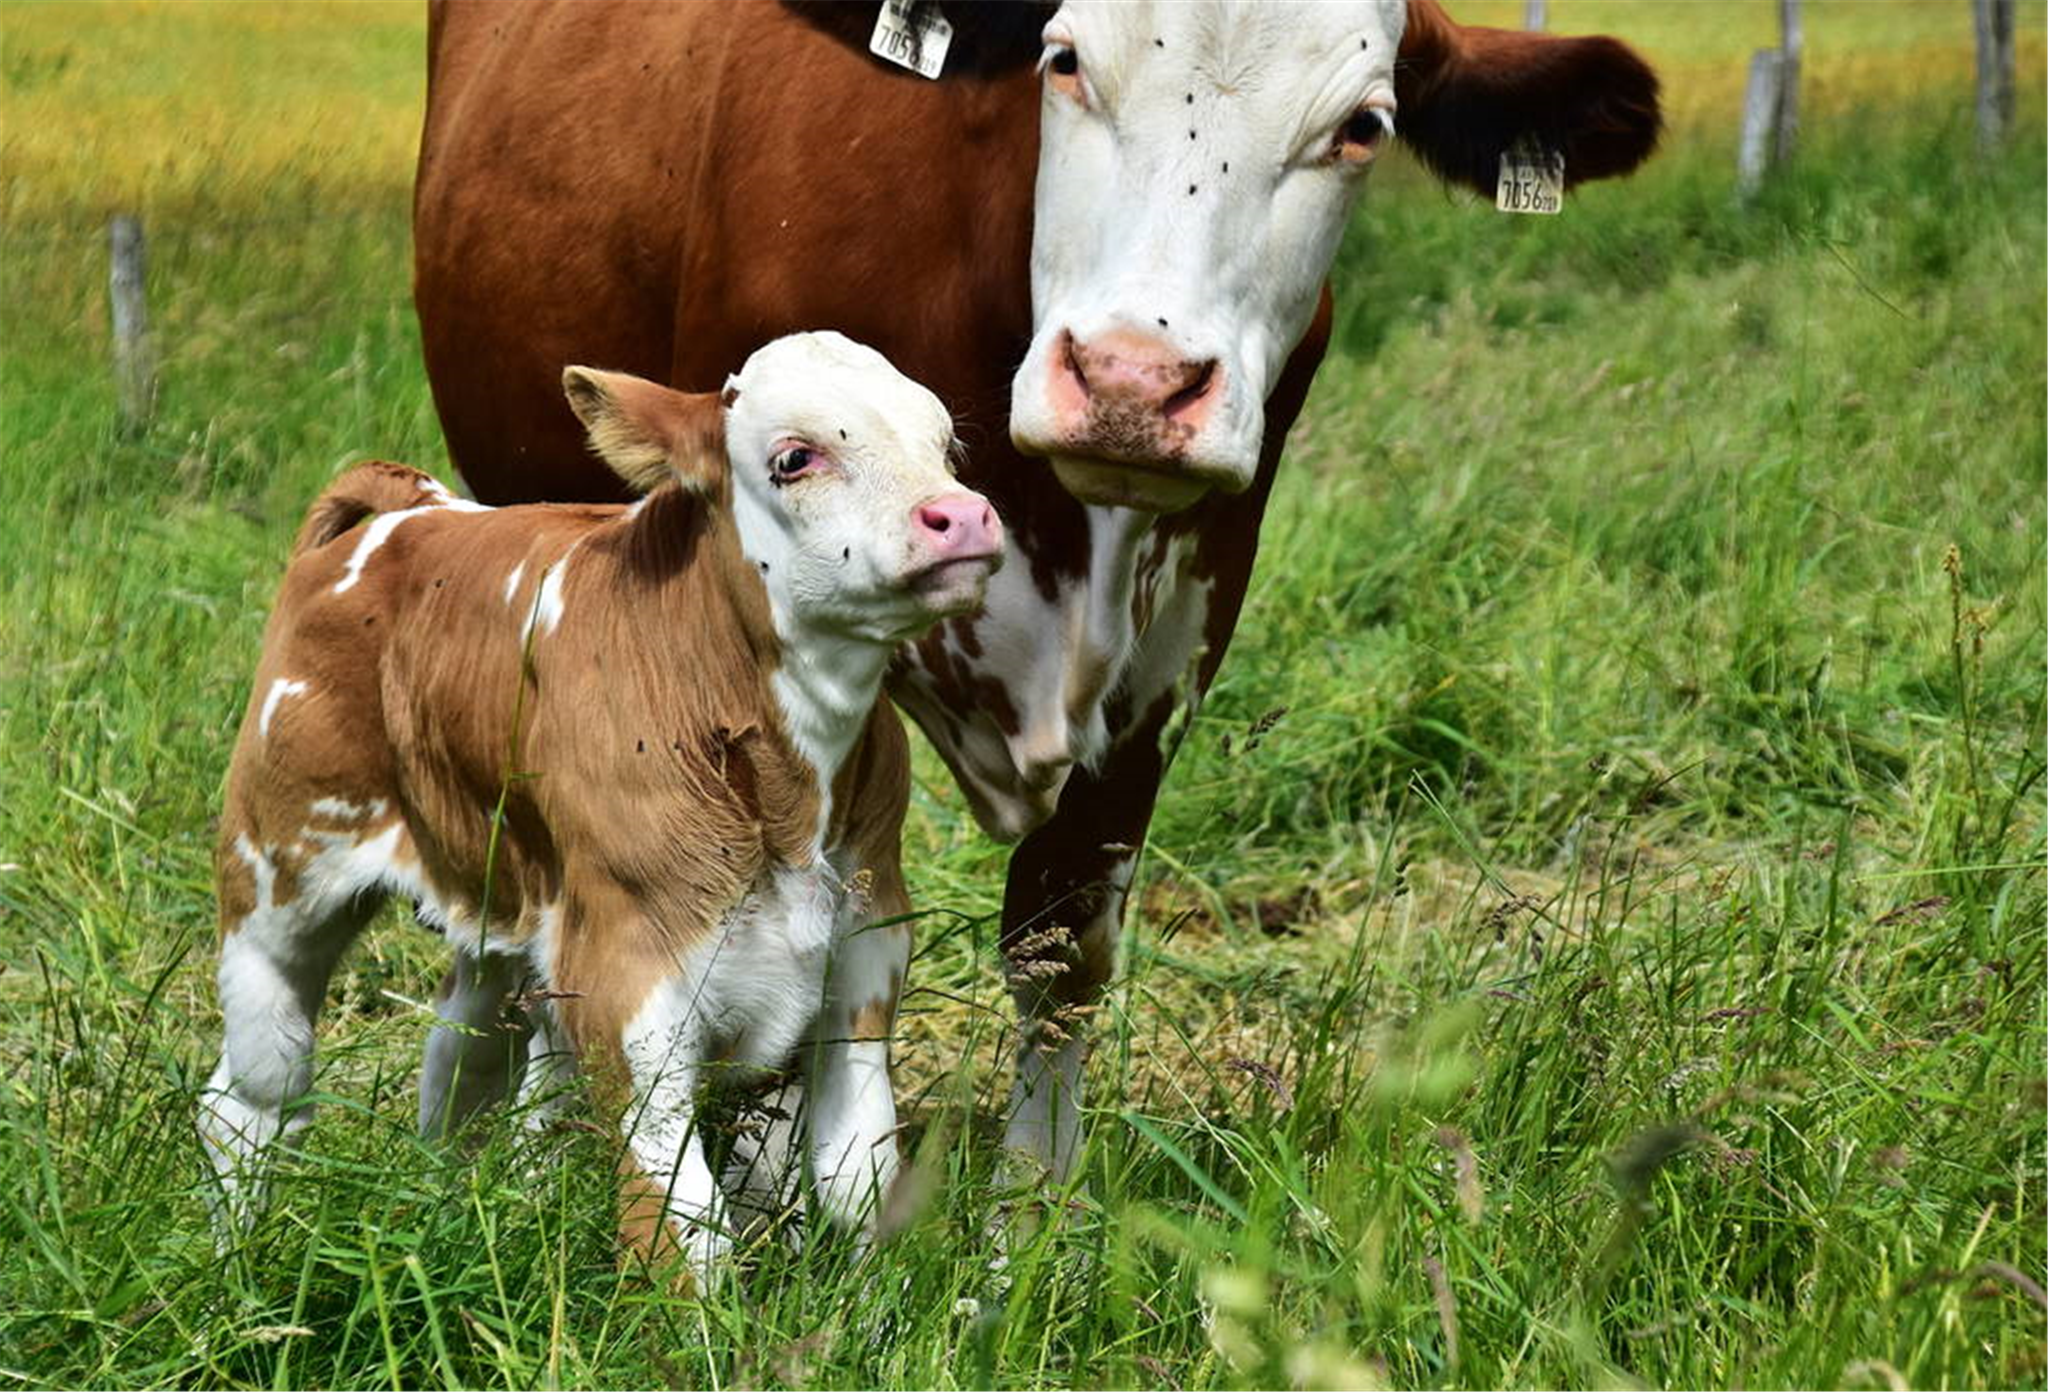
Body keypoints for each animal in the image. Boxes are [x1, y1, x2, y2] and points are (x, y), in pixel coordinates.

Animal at [197, 331, 999, 1277]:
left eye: (945, 445)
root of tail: (420, 511)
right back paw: (234, 1270)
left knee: (463, 1067)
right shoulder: (632, 984)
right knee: (256, 1092)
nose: (964, 516)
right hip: (276, 874)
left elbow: (854, 1181)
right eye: (795, 457)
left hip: (507, 905)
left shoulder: (865, 957)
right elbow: (682, 1227)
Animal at [415, 0, 1662, 1179]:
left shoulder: (1182, 635)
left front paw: (1030, 1206)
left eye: (1361, 126)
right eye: (1062, 61)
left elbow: (1060, 940)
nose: (1129, 384)